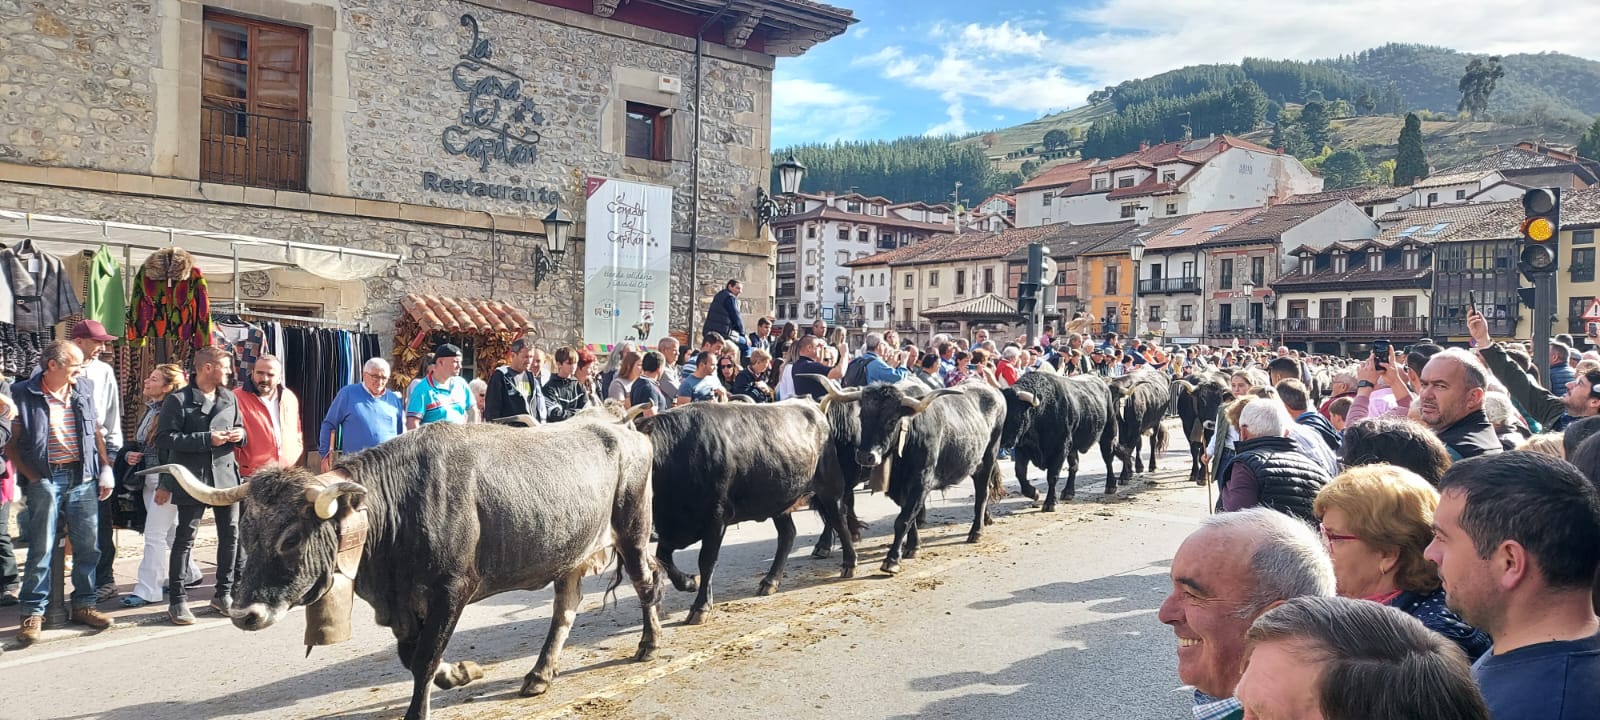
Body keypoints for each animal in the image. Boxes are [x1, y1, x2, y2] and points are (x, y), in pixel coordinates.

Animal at [140, 416, 659, 720]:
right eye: (245, 534)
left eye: (291, 538)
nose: (244, 614)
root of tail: (622, 428)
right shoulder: (401, 605)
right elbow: (413, 657)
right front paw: (460, 673)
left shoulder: (453, 591)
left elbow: (424, 657)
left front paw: (424, 703)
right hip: (570, 552)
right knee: (565, 609)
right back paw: (539, 675)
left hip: (632, 531)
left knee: (646, 584)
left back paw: (649, 644)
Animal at [630, 400, 844, 624]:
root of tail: (812, 406)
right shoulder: (673, 527)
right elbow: (663, 557)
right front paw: (689, 582)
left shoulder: (716, 519)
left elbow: (706, 561)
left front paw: (700, 607)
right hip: (780, 502)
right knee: (788, 534)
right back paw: (770, 581)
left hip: (829, 487)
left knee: (837, 518)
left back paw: (846, 563)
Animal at [812, 377, 998, 572]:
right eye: (862, 417)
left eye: (892, 420)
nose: (865, 456)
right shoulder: (896, 486)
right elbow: (908, 516)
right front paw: (912, 546)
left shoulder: (921, 481)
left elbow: (902, 520)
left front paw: (892, 559)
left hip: (988, 458)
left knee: (982, 493)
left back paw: (976, 531)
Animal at [998, 368, 1113, 502]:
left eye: (1015, 414)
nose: (1002, 441)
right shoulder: (1022, 448)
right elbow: (1020, 472)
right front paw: (1033, 493)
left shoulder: (1061, 448)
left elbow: (1052, 476)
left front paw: (1049, 502)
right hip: (1073, 447)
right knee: (1074, 466)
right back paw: (1068, 492)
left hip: (1109, 432)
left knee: (1108, 458)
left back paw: (1111, 485)